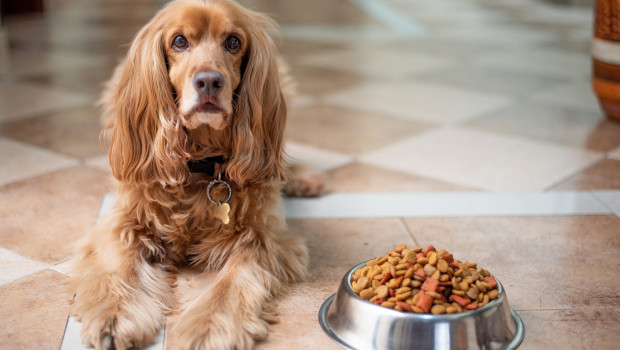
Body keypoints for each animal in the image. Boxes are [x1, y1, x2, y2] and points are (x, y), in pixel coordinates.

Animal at [69, 1, 318, 348]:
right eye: (179, 41)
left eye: (233, 42)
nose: (209, 82)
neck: (201, 163)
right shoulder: (122, 222)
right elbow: (121, 266)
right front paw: (114, 316)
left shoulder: (262, 238)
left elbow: (231, 284)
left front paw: (209, 328)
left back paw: (302, 178)